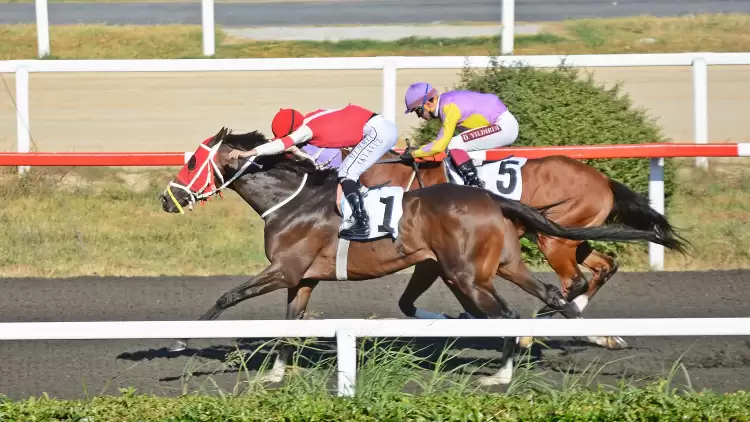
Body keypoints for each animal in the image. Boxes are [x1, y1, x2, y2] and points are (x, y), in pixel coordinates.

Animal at [302, 143, 692, 352]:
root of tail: (602, 179)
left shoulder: (437, 259)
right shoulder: (441, 261)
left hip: (554, 238)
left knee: (573, 281)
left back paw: (540, 330)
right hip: (572, 235)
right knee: (603, 267)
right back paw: (594, 333)